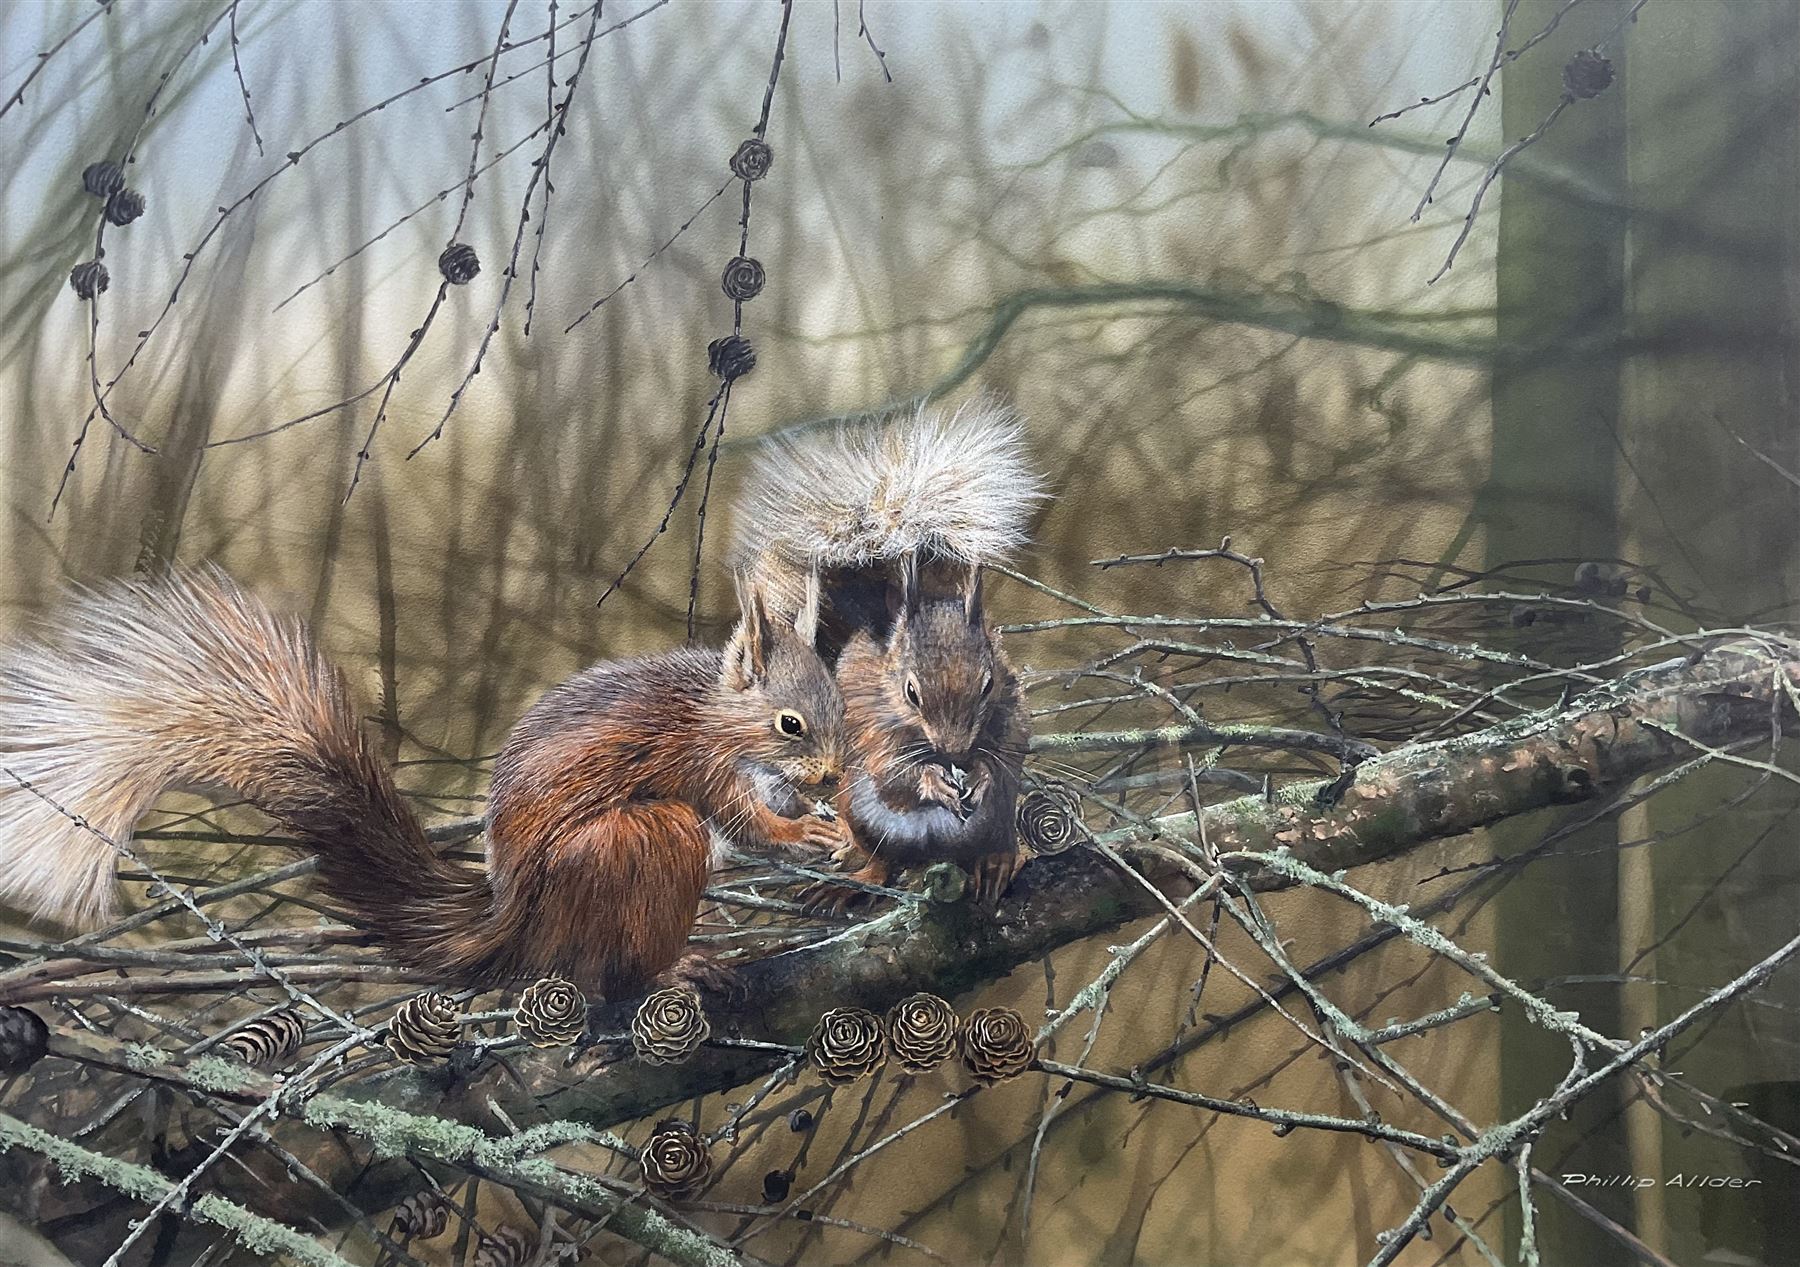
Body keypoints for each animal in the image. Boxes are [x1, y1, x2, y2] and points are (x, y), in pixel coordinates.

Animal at [0, 568, 849, 998]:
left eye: (842, 707)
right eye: (790, 723)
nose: (837, 773)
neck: (714, 711)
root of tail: (517, 926)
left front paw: (831, 821)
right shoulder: (698, 760)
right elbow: (742, 822)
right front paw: (804, 831)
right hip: (637, 841)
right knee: (605, 968)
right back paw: (675, 965)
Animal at [729, 397, 1044, 906]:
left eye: (989, 684)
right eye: (910, 691)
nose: (954, 752)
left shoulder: (1011, 709)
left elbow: (1008, 753)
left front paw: (980, 775)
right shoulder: (869, 723)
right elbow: (894, 775)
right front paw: (932, 781)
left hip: (995, 823)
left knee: (992, 840)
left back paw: (998, 862)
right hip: (859, 812)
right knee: (881, 858)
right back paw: (852, 882)